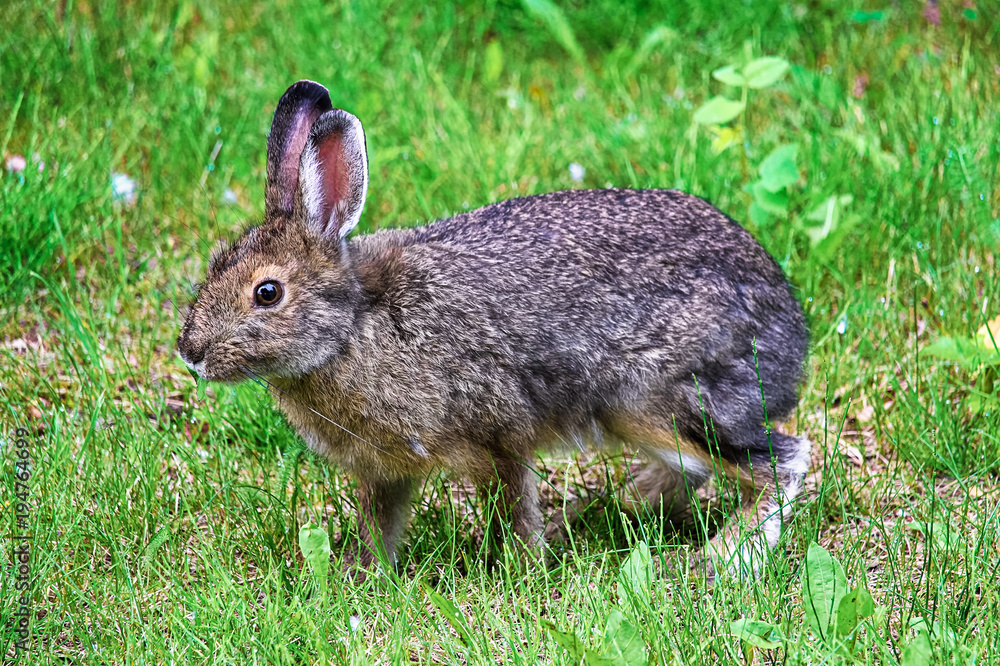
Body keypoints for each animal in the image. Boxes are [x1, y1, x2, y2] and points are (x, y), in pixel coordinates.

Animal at [177, 79, 812, 579]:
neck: (354, 327)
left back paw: (716, 557)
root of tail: (790, 334)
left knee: (780, 461)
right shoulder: (386, 470)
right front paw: (354, 579)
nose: (191, 353)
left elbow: (514, 506)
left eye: (267, 293)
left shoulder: (500, 432)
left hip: (660, 398)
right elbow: (379, 525)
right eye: (214, 264)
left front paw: (524, 571)